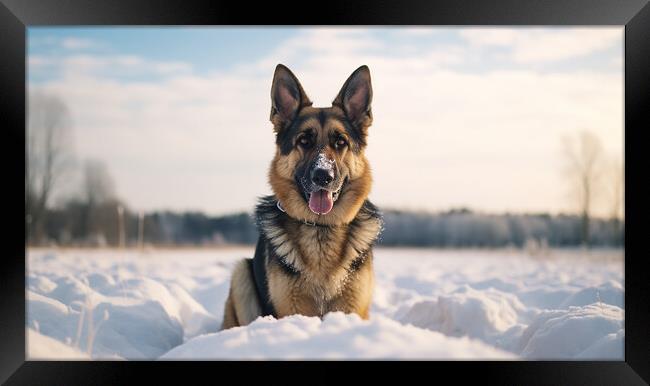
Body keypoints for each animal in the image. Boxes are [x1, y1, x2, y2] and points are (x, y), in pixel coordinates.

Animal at [220, 63, 380, 328]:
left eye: (340, 142)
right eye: (304, 140)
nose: (323, 176)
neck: (321, 228)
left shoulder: (352, 308)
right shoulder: (292, 310)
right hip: (241, 273)